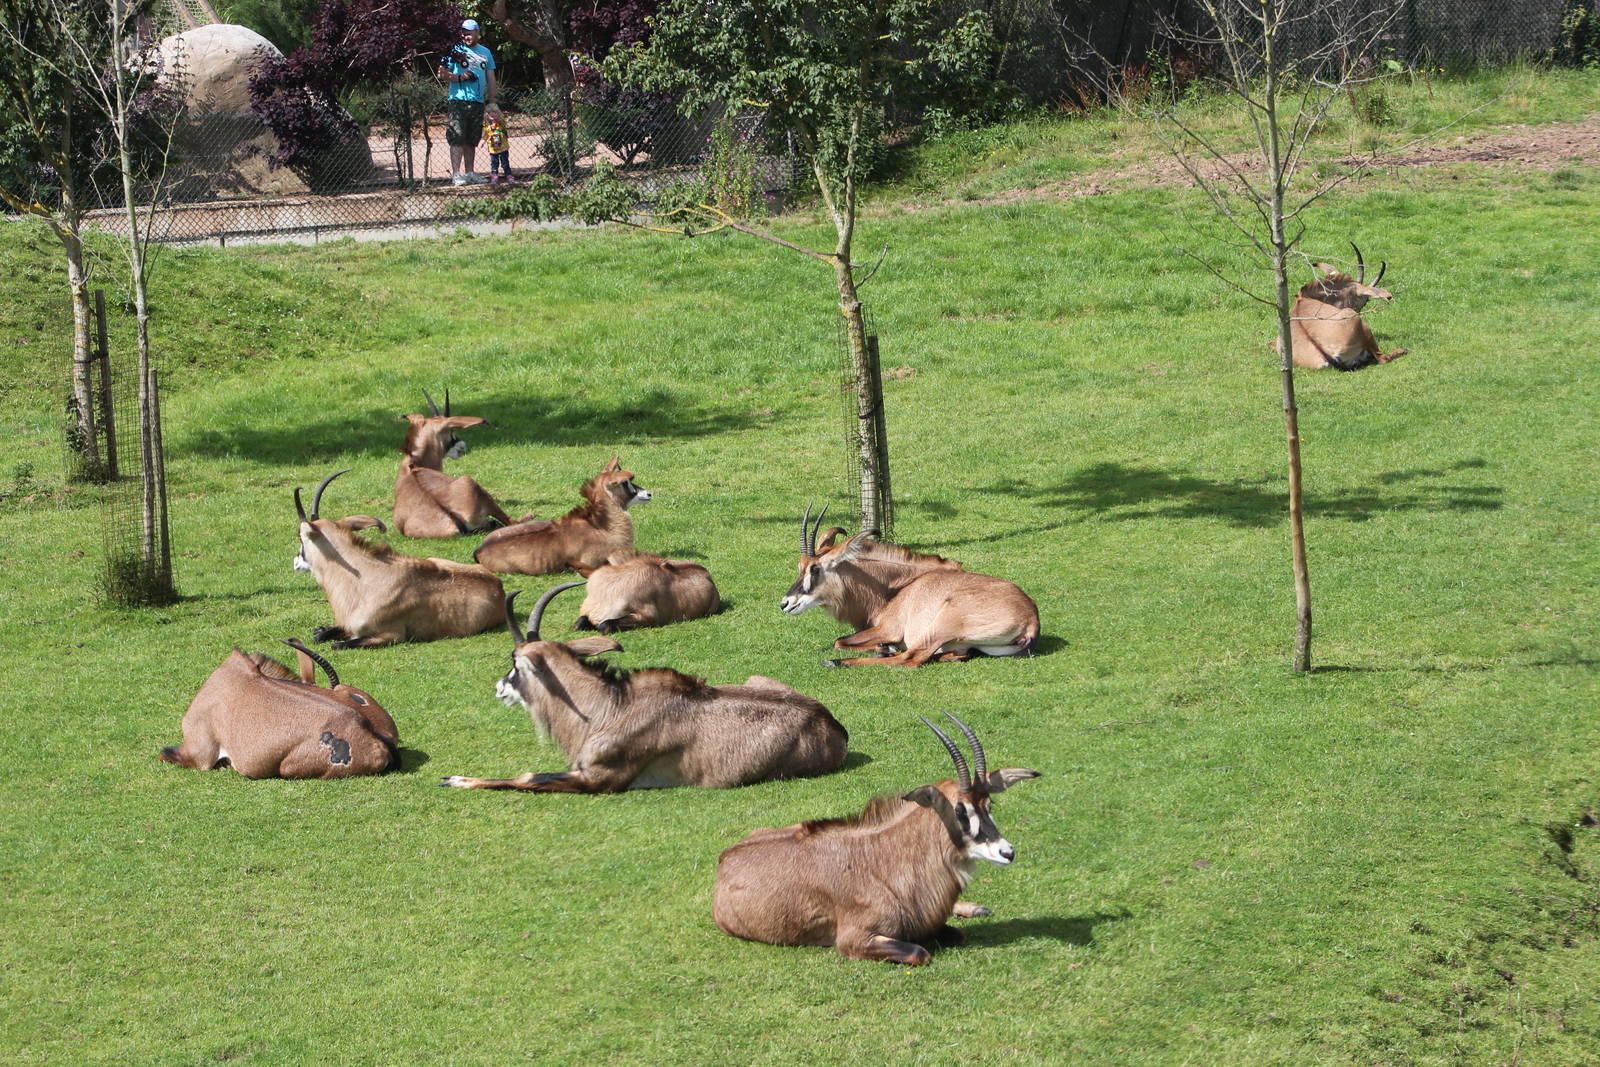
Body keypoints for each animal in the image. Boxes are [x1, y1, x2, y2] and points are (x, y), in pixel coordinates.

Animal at [294, 468, 507, 648]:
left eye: (301, 537)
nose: (295, 562)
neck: (364, 580)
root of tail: (498, 585)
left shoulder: (391, 636)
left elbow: (339, 644)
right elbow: (322, 635)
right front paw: (322, 630)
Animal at [393, 388, 519, 538]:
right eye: (451, 431)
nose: (463, 445)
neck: (414, 465)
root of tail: (453, 521)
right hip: (470, 482)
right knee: (512, 521)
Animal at [439, 583, 847, 793]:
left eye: (514, 662)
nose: (499, 688)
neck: (607, 708)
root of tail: (834, 728)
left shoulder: (599, 781)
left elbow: (530, 778)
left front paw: (457, 779)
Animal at [713, 713, 1039, 966]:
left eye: (989, 805)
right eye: (960, 810)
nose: (1007, 852)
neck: (886, 863)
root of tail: (725, 858)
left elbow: (957, 934)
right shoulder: (854, 939)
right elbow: (920, 952)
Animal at [780, 505, 1040, 667]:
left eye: (815, 569)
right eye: (800, 566)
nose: (785, 603)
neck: (896, 588)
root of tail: (1031, 619)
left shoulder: (888, 628)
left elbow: (840, 641)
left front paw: (882, 647)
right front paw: (884, 647)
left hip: (941, 625)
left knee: (911, 659)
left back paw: (838, 662)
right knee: (954, 654)